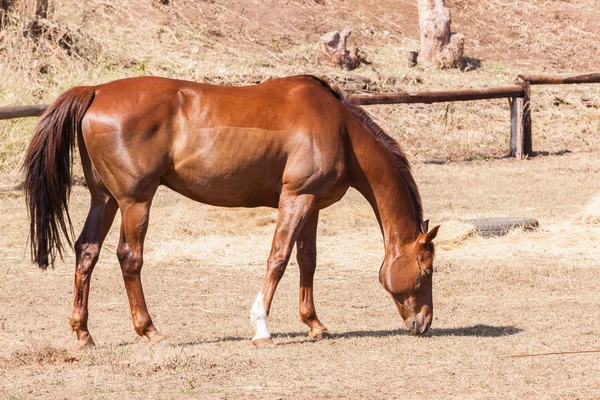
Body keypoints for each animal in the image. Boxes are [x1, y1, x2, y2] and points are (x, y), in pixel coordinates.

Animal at [23, 74, 438, 346]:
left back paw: (83, 333)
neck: (339, 129)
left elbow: (307, 260)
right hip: (135, 201)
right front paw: (262, 327)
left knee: (87, 252)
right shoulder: (296, 198)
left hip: (104, 199)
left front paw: (315, 324)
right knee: (129, 257)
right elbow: (278, 258)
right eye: (426, 270)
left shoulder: (312, 204)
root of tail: (95, 91)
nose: (424, 323)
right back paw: (150, 331)